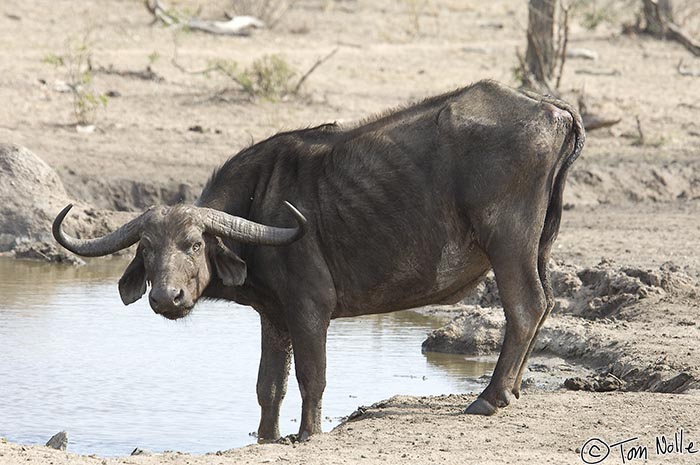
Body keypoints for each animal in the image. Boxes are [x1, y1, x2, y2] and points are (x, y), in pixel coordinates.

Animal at [52, 80, 584, 442]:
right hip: (540, 244)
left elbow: (313, 376)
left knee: (526, 306)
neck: (256, 211)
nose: (167, 297)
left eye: (194, 244)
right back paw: (512, 391)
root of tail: (550, 108)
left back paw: (489, 399)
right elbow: (269, 385)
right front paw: (265, 438)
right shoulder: (273, 316)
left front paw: (308, 434)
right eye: (145, 248)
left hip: (508, 240)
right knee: (545, 305)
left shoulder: (310, 309)